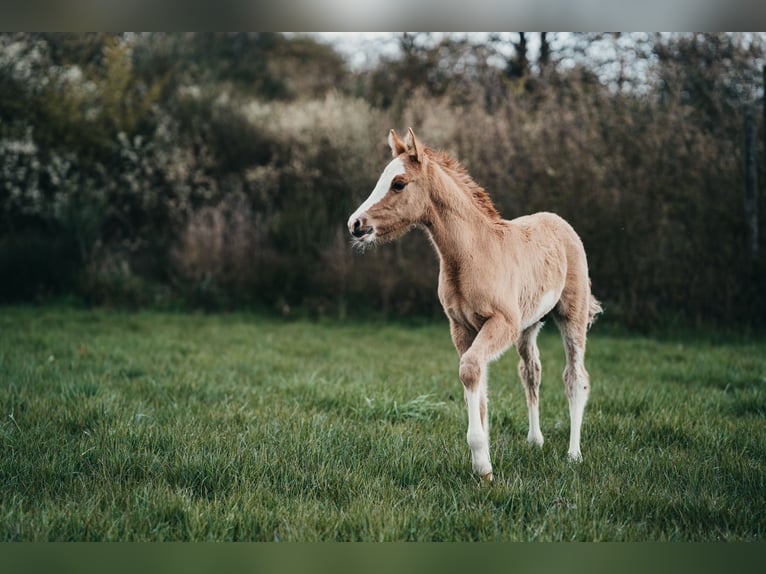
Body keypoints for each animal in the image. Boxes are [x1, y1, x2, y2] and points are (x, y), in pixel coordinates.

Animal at [347, 128, 602, 482]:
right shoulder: (463, 328)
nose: (355, 224)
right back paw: (535, 440)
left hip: (570, 316)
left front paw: (482, 463)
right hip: (528, 325)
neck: (472, 253)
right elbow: (479, 384)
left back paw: (574, 454)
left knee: (575, 376)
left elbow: (469, 370)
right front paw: (484, 464)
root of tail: (559, 222)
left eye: (398, 183)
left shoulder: (501, 323)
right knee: (531, 371)